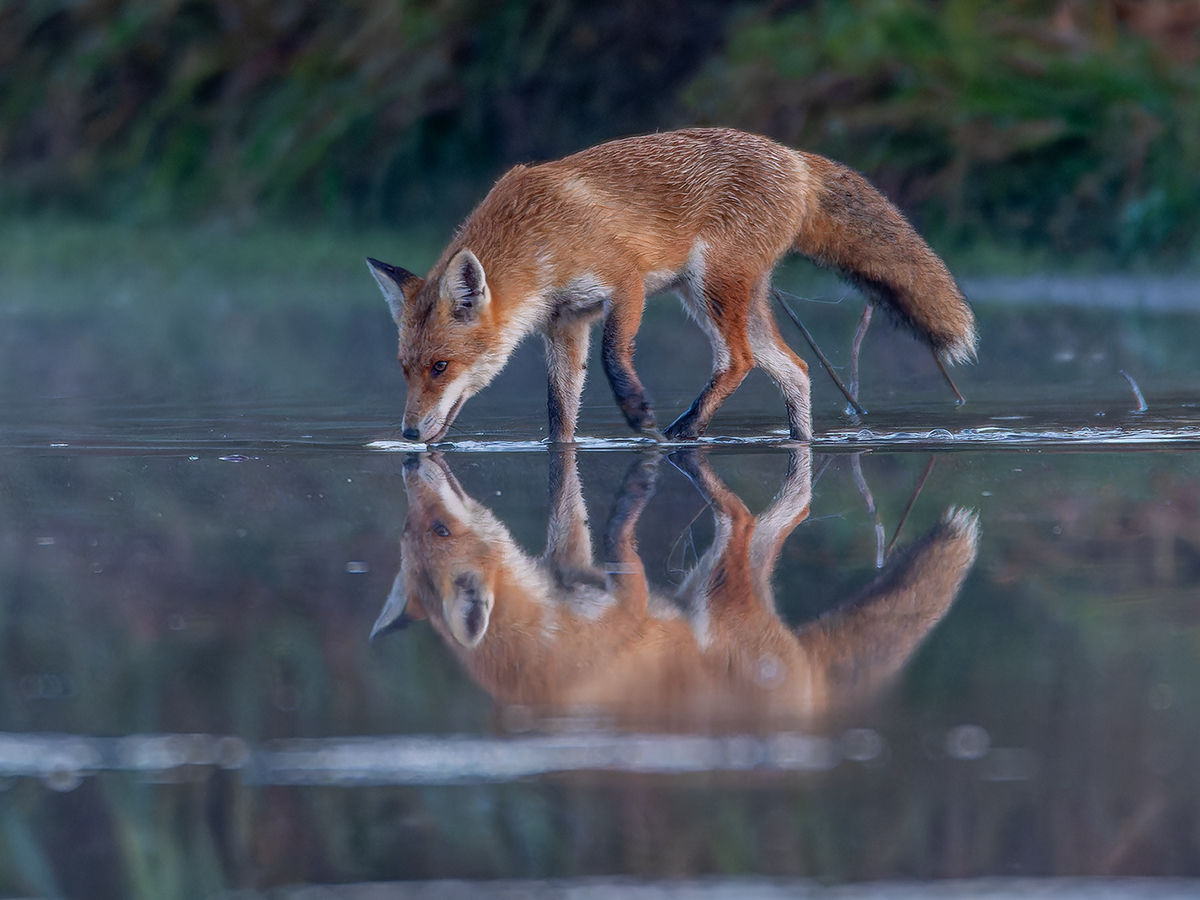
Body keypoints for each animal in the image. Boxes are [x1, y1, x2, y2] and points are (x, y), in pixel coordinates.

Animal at [367, 128, 974, 446]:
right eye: (404, 370)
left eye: (440, 367)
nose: (407, 435)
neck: (538, 237)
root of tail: (793, 157)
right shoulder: (565, 320)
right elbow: (560, 410)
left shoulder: (625, 282)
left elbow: (614, 355)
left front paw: (637, 410)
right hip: (724, 297)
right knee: (795, 370)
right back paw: (796, 441)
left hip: (711, 288)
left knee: (738, 361)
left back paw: (682, 433)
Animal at [376, 451, 984, 734]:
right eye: (410, 528)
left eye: (438, 529)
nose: (410, 466)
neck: (540, 636)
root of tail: (811, 699)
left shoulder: (617, 604)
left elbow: (610, 552)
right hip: (718, 585)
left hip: (717, 585)